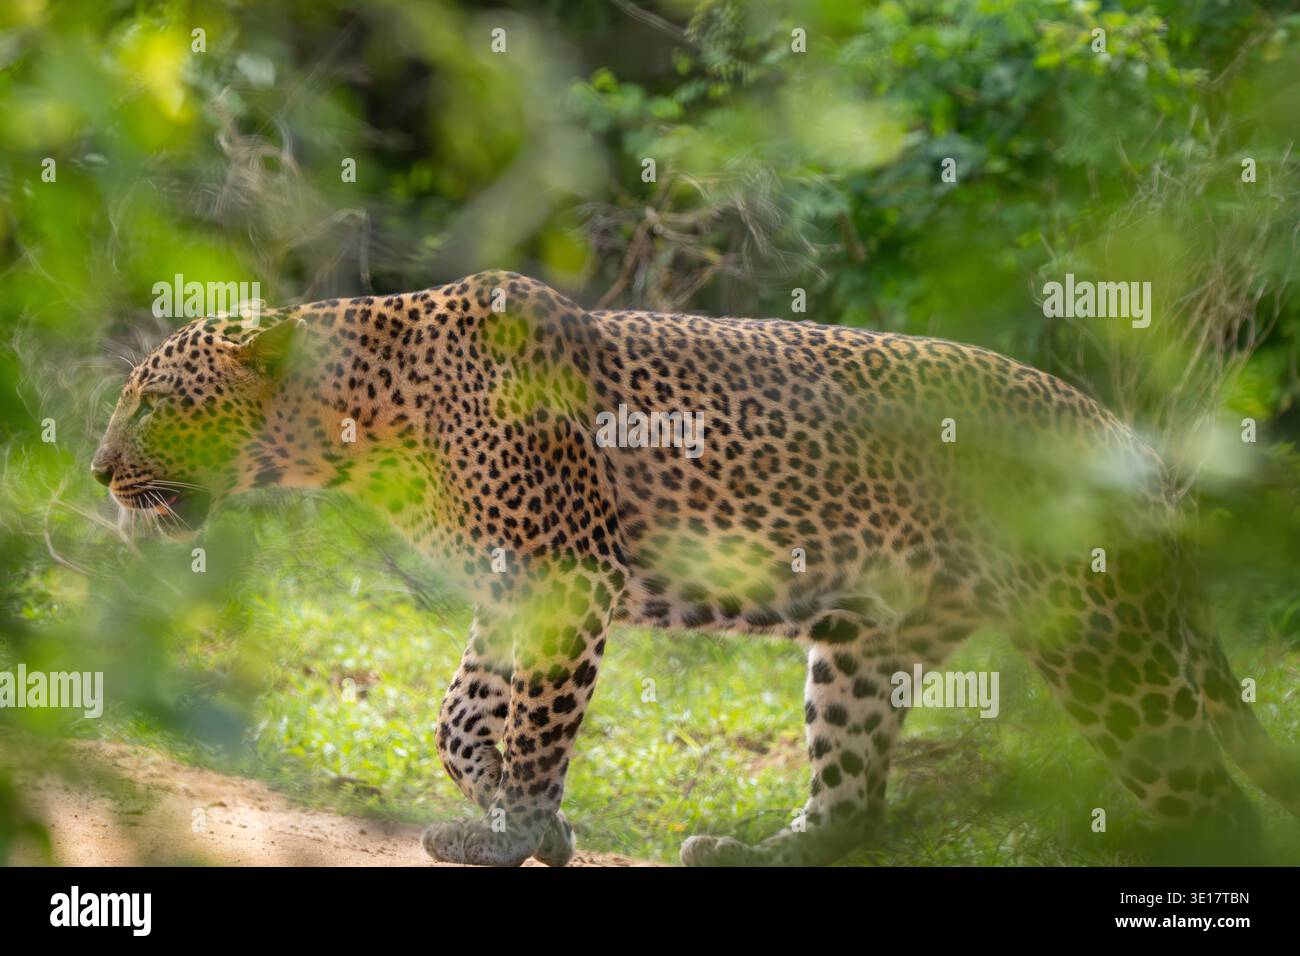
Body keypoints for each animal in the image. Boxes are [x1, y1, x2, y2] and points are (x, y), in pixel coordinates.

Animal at [91, 270, 1299, 866]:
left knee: (1210, 805)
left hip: (1105, 644)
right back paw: (754, 851)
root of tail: (1134, 446)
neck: (363, 423)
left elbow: (532, 721)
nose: (97, 470)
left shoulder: (563, 572)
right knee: (853, 796)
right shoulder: (510, 582)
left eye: (150, 399)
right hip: (865, 639)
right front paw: (510, 812)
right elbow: (460, 713)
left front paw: (518, 832)